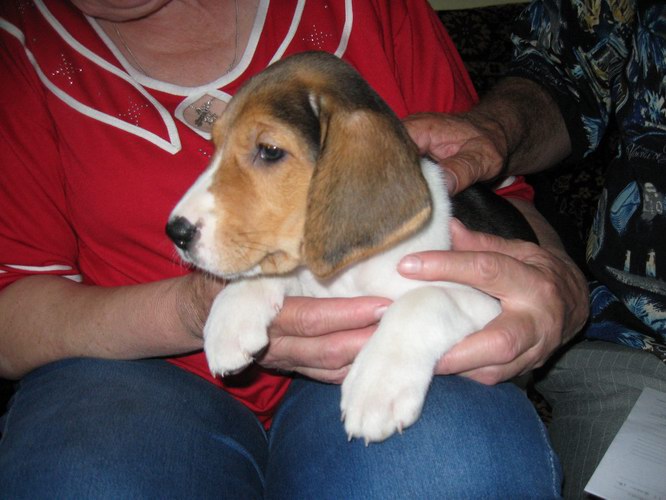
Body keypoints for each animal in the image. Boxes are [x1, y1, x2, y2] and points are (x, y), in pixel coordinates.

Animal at [166, 51, 536, 443]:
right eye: (215, 144)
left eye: (269, 150)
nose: (176, 232)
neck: (350, 274)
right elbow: (272, 269)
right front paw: (230, 317)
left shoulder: (489, 303)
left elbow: (424, 299)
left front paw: (377, 387)